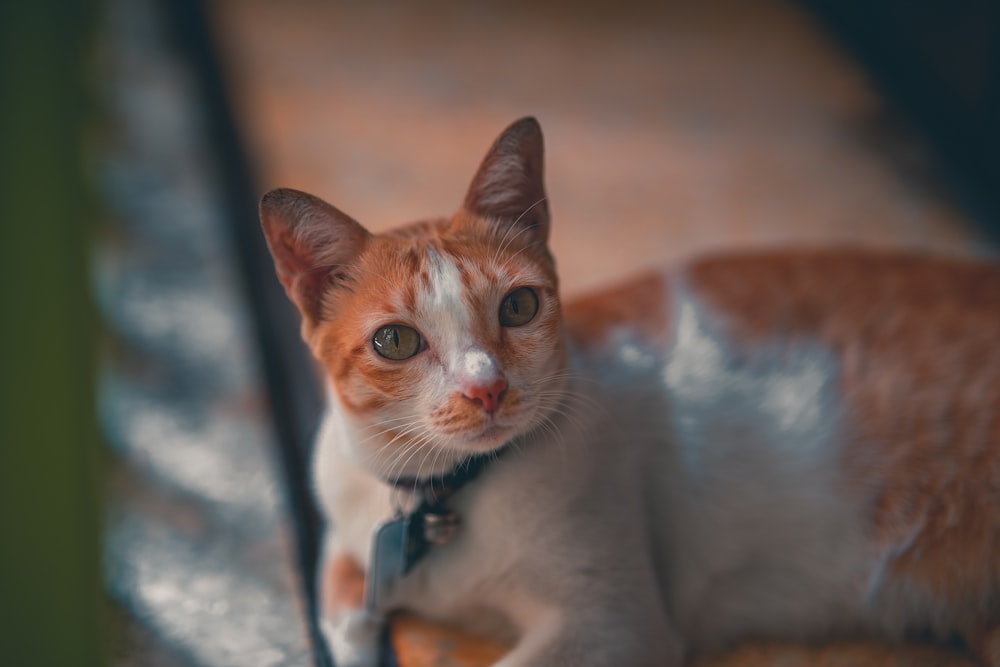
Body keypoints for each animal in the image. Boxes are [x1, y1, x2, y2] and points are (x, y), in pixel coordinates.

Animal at [260, 116, 1000, 667]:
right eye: (396, 342)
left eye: (519, 306)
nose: (487, 390)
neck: (443, 499)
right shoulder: (345, 533)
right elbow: (341, 605)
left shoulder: (612, 623)